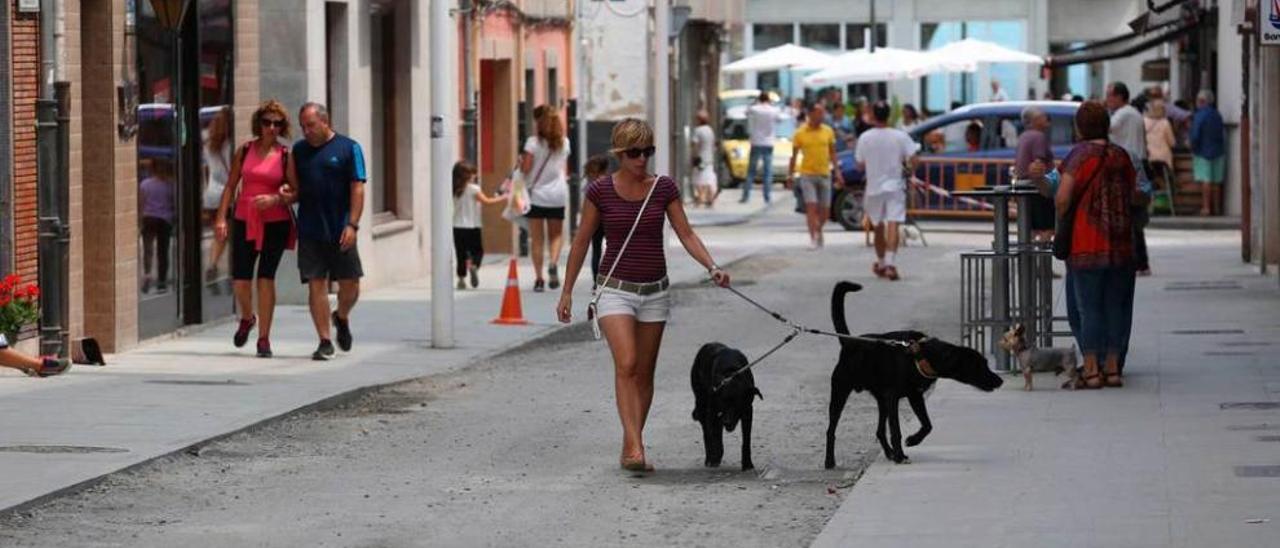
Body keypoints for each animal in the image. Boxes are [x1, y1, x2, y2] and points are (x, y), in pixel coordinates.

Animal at [691, 340, 757, 468]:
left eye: (737, 405)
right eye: (724, 402)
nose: (727, 422)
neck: (731, 374)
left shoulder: (747, 411)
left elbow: (746, 440)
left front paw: (747, 463)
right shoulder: (712, 411)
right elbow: (713, 436)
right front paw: (714, 456)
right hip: (702, 402)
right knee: (707, 431)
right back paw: (710, 457)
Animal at [824, 282, 1003, 466]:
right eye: (980, 365)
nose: (1000, 380)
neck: (923, 355)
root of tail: (848, 342)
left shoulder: (914, 396)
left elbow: (928, 425)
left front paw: (913, 440)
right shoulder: (893, 398)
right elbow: (896, 430)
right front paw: (900, 456)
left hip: (881, 401)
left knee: (879, 431)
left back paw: (889, 452)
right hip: (840, 392)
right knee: (831, 430)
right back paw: (830, 461)